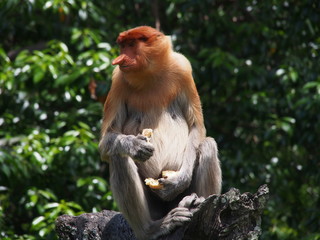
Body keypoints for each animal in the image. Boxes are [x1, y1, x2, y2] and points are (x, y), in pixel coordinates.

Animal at [99, 26, 221, 240]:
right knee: (119, 157)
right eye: (122, 46)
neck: (150, 73)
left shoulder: (183, 68)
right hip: (154, 208)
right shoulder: (118, 80)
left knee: (208, 145)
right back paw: (152, 229)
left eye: (131, 45)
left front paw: (179, 180)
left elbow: (197, 126)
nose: (119, 59)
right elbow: (107, 140)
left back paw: (195, 202)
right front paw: (135, 145)